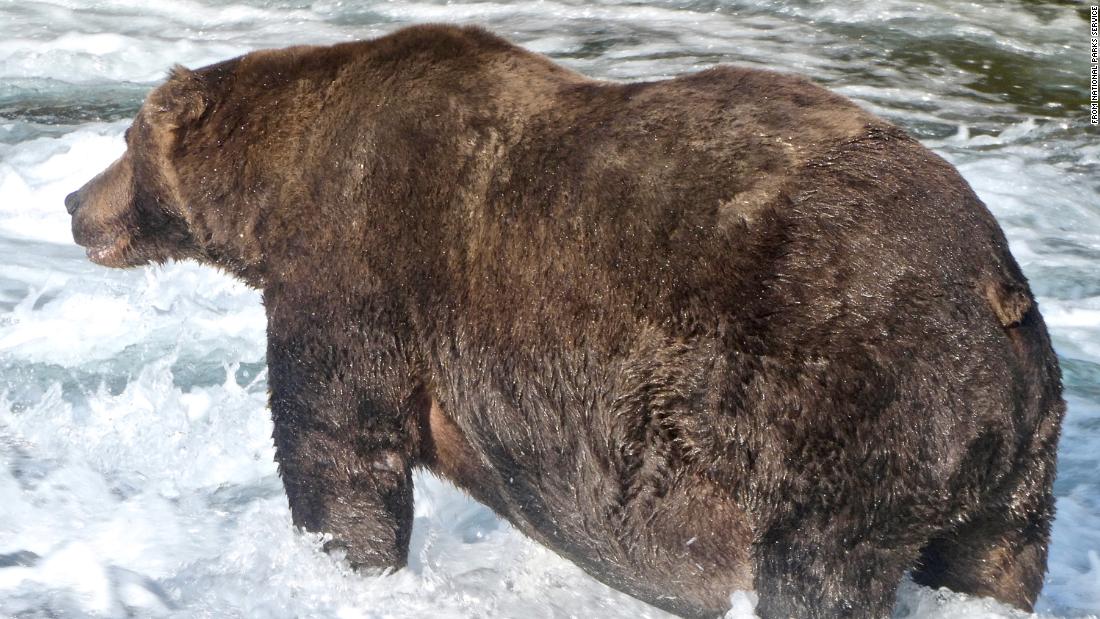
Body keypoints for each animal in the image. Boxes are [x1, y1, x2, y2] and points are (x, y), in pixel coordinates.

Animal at [62, 24, 1064, 619]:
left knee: (817, 569)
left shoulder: (358, 263)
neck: (275, 193)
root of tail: (999, 291)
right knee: (990, 565)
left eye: (124, 141)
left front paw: (339, 560)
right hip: (1011, 467)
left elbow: (337, 441)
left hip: (844, 401)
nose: (74, 203)